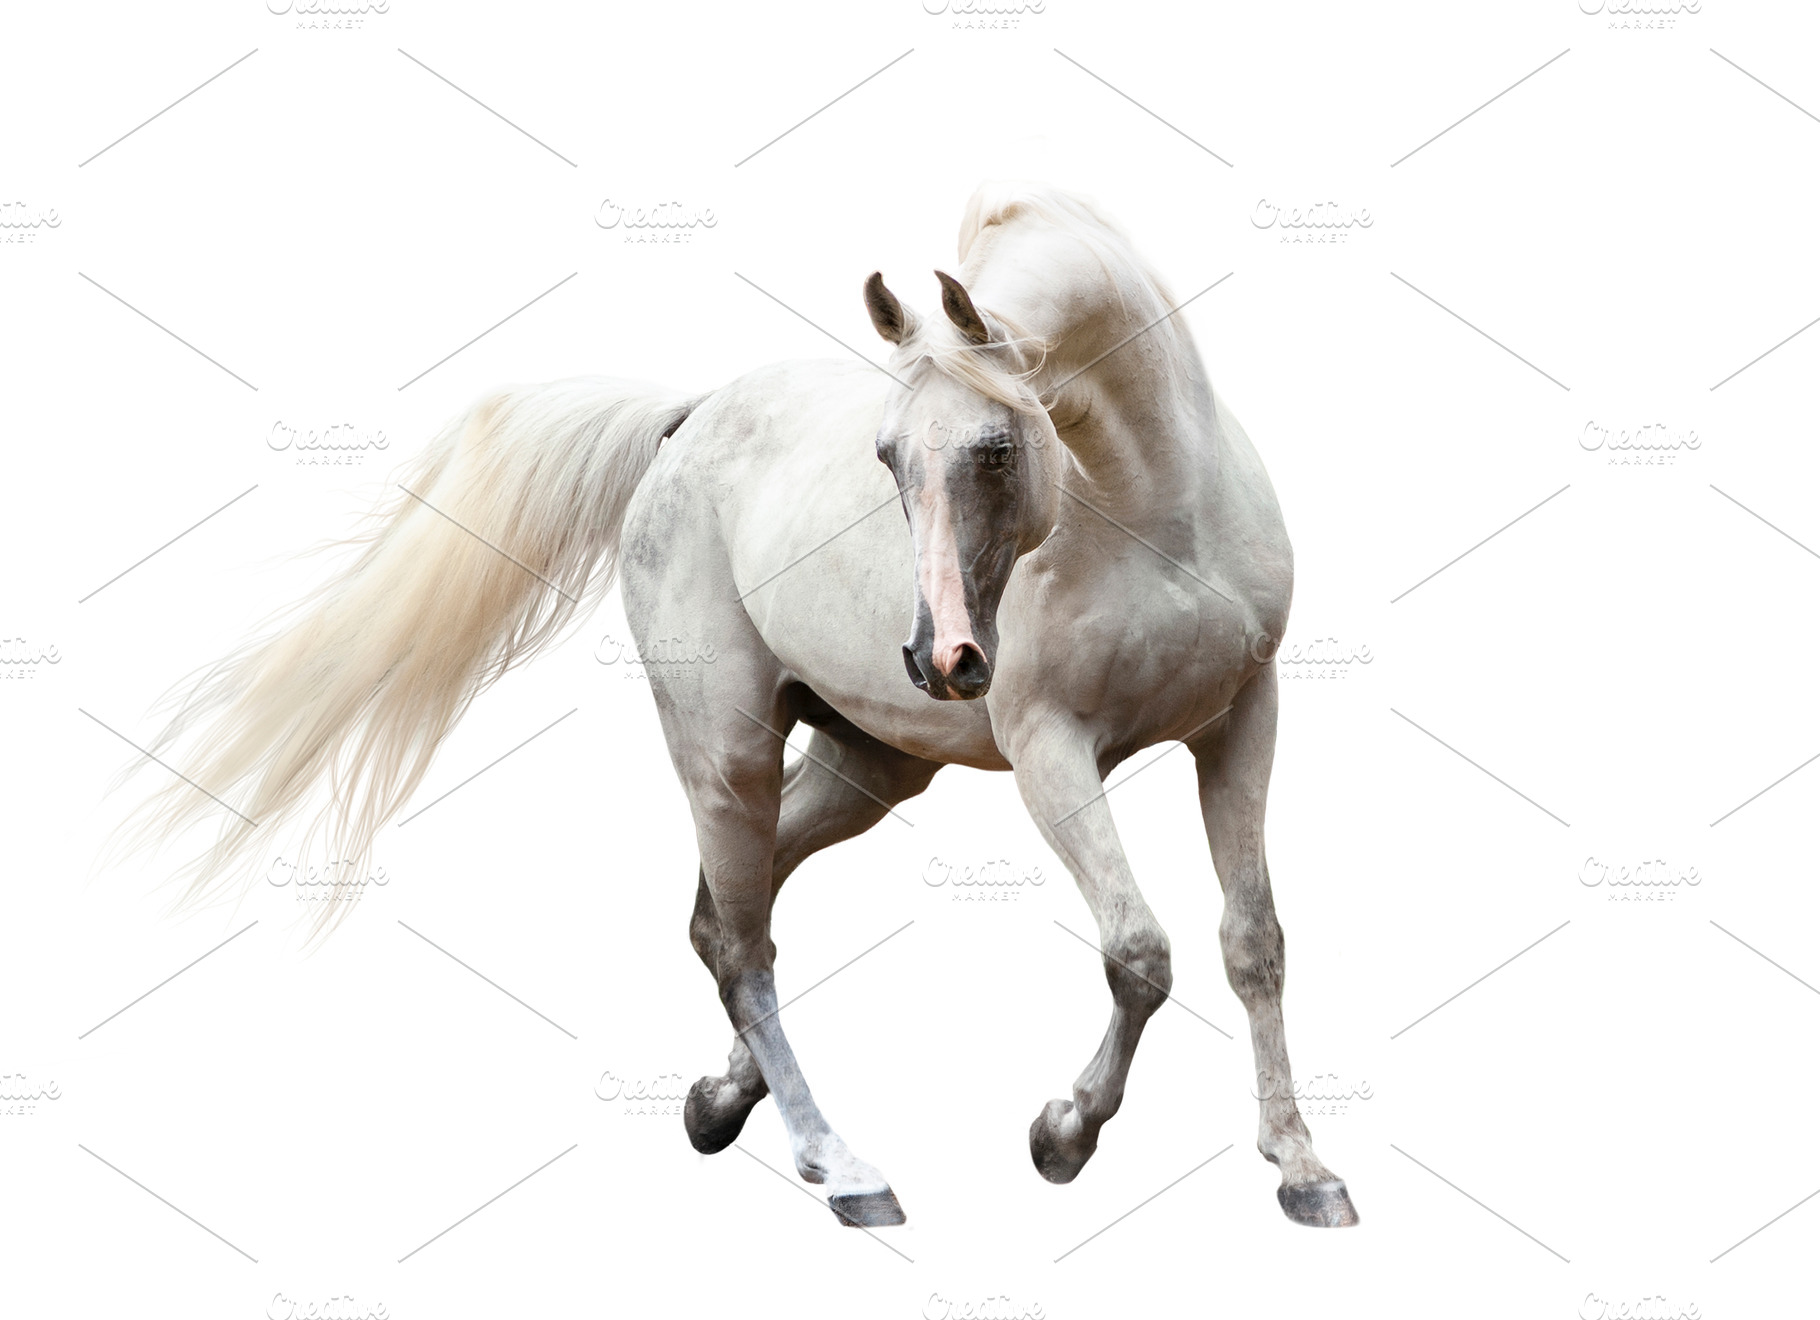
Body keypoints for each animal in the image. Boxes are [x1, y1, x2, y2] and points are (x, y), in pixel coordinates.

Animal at [116, 182, 1357, 1231]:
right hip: (726, 748)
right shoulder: (1052, 750)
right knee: (740, 939)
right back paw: (842, 1170)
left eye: (998, 447)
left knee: (727, 912)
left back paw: (724, 1101)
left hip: (865, 764)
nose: (940, 658)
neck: (1150, 513)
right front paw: (1062, 1135)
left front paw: (1302, 1171)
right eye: (887, 455)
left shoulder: (1240, 724)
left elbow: (1251, 942)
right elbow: (1138, 953)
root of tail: (686, 420)